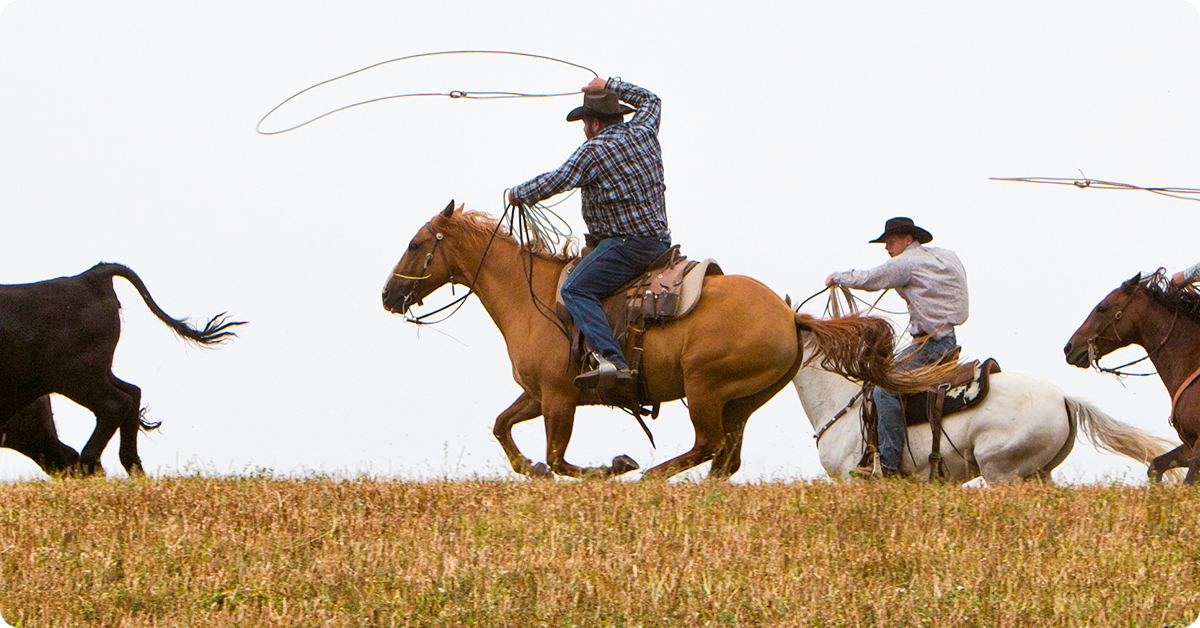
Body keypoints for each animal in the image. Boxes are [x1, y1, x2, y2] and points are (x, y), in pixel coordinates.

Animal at [0, 264, 243, 477]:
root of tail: (88, 277)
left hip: (76, 377)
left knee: (114, 405)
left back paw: (91, 464)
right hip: (97, 374)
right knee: (132, 393)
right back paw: (131, 468)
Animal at [379, 201, 950, 482]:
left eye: (415, 243)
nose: (388, 294)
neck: (533, 296)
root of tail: (789, 315)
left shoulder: (560, 397)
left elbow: (560, 459)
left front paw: (613, 466)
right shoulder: (538, 394)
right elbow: (503, 428)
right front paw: (529, 468)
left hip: (704, 388)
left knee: (707, 446)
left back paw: (649, 477)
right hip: (743, 400)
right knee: (724, 459)